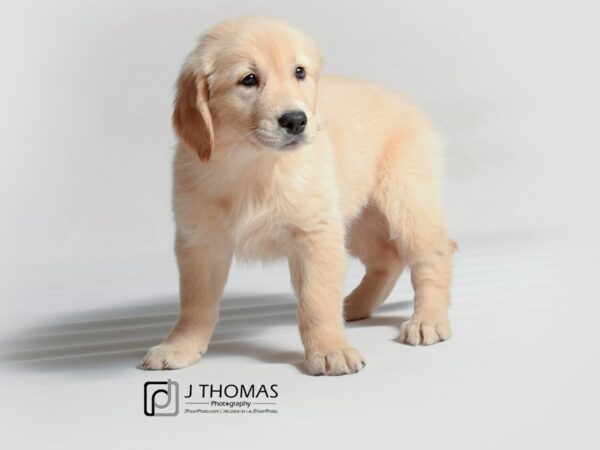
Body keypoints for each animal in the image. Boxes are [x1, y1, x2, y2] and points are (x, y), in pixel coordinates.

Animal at [144, 16, 454, 376]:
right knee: (387, 259)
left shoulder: (315, 235)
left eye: (299, 72)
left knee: (434, 254)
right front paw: (180, 346)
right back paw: (354, 305)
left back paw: (427, 320)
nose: (295, 120)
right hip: (354, 219)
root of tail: (409, 103)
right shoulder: (200, 241)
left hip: (407, 200)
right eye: (248, 79)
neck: (254, 164)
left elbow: (316, 301)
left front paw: (330, 349)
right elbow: (194, 304)